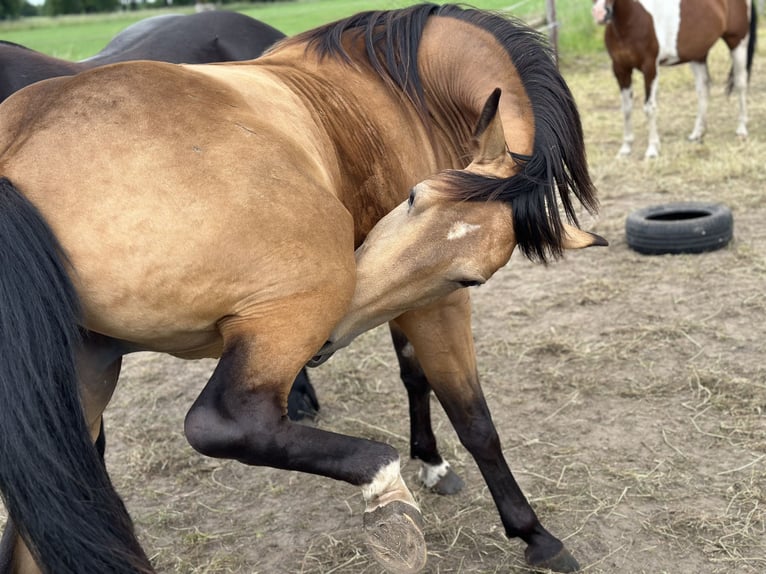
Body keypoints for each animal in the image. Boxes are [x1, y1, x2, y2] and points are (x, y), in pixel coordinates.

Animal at [591, 0, 757, 158]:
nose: (600, 14)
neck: (632, 20)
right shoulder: (620, 69)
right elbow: (626, 109)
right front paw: (625, 149)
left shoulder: (650, 68)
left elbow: (649, 108)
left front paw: (652, 150)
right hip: (698, 54)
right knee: (703, 89)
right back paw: (697, 134)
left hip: (737, 43)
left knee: (741, 83)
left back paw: (741, 129)